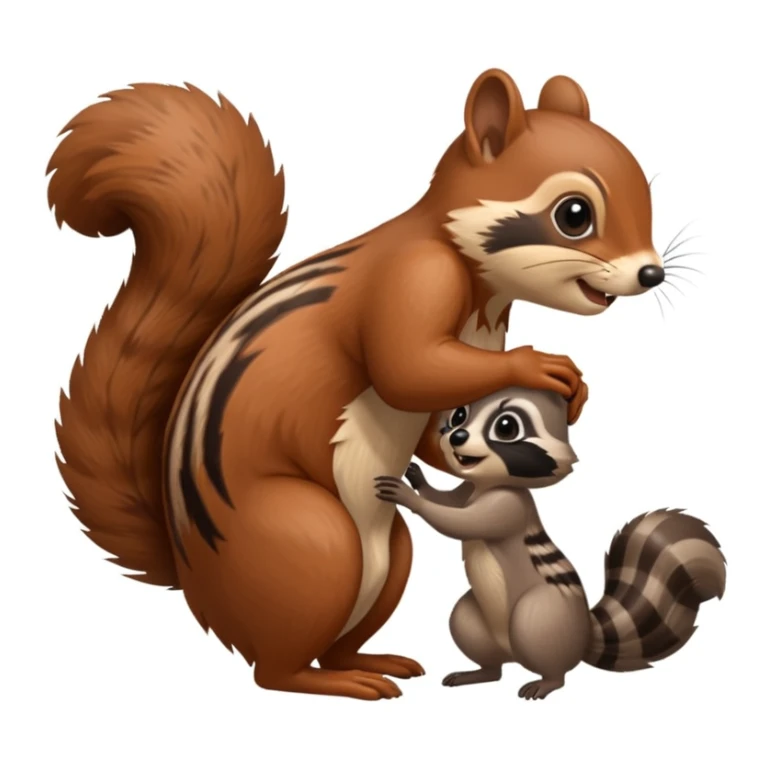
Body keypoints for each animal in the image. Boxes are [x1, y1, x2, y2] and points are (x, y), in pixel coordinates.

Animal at [49, 69, 666, 701]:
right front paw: (541, 364)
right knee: (275, 672)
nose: (652, 273)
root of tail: (197, 583)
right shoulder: (411, 281)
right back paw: (344, 683)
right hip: (313, 541)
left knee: (335, 639)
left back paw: (372, 662)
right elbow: (408, 371)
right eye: (575, 214)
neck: (474, 278)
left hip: (390, 556)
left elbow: (432, 429)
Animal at [374, 387, 726, 700]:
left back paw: (547, 682)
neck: (488, 484)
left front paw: (410, 498)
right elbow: (449, 500)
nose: (456, 436)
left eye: (506, 427)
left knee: (547, 654)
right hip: (474, 622)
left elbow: (460, 522)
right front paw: (420, 481)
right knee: (487, 658)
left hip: (543, 617)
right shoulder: (467, 490)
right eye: (459, 414)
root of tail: (583, 634)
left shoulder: (508, 506)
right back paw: (480, 673)